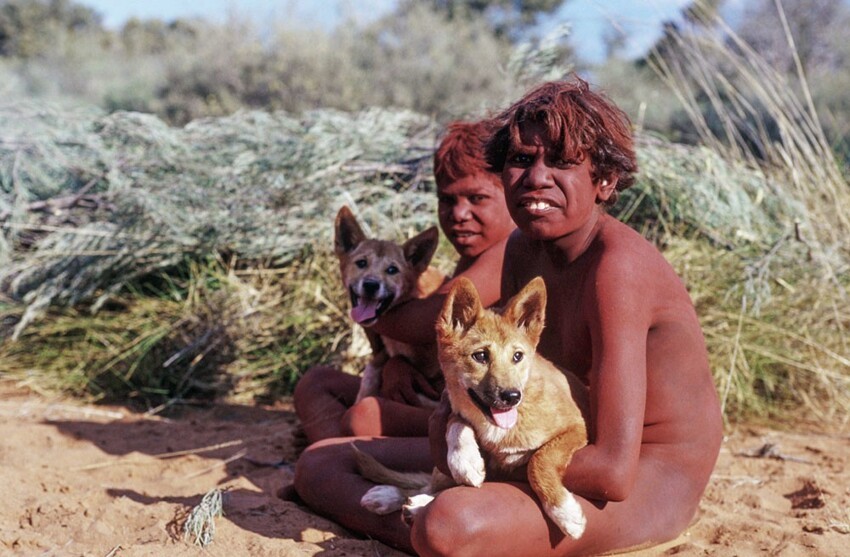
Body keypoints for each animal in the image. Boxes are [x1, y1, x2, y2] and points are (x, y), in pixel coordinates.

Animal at [354, 278, 588, 540]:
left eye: (518, 356)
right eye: (480, 356)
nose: (512, 396)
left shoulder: (576, 428)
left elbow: (540, 460)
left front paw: (564, 511)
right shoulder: (453, 409)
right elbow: (456, 423)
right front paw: (464, 460)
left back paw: (413, 504)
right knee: (429, 485)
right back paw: (395, 497)